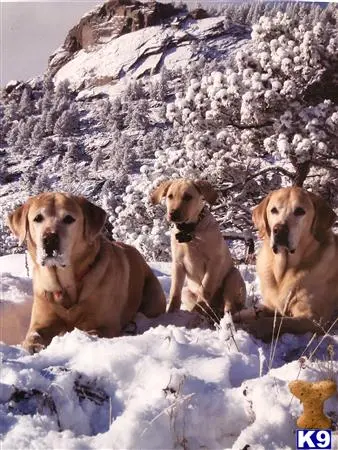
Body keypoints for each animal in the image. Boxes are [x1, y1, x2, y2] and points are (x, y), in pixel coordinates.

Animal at [7, 192, 166, 354]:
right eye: (38, 218)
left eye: (69, 219)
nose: (49, 239)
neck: (66, 284)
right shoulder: (41, 318)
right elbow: (34, 335)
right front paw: (33, 346)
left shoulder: (105, 325)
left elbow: (92, 332)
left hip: (153, 297)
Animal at [151, 178, 246, 316]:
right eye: (170, 196)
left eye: (188, 197)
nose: (173, 214)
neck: (188, 231)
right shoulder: (178, 264)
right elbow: (175, 291)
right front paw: (171, 312)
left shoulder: (214, 262)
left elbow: (205, 287)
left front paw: (199, 306)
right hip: (186, 292)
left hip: (234, 275)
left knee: (229, 304)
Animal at [235, 187, 338, 342]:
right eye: (273, 210)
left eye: (300, 211)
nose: (280, 229)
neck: (284, 270)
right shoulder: (270, 304)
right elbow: (251, 311)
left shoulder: (313, 319)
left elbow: (276, 322)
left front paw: (251, 326)